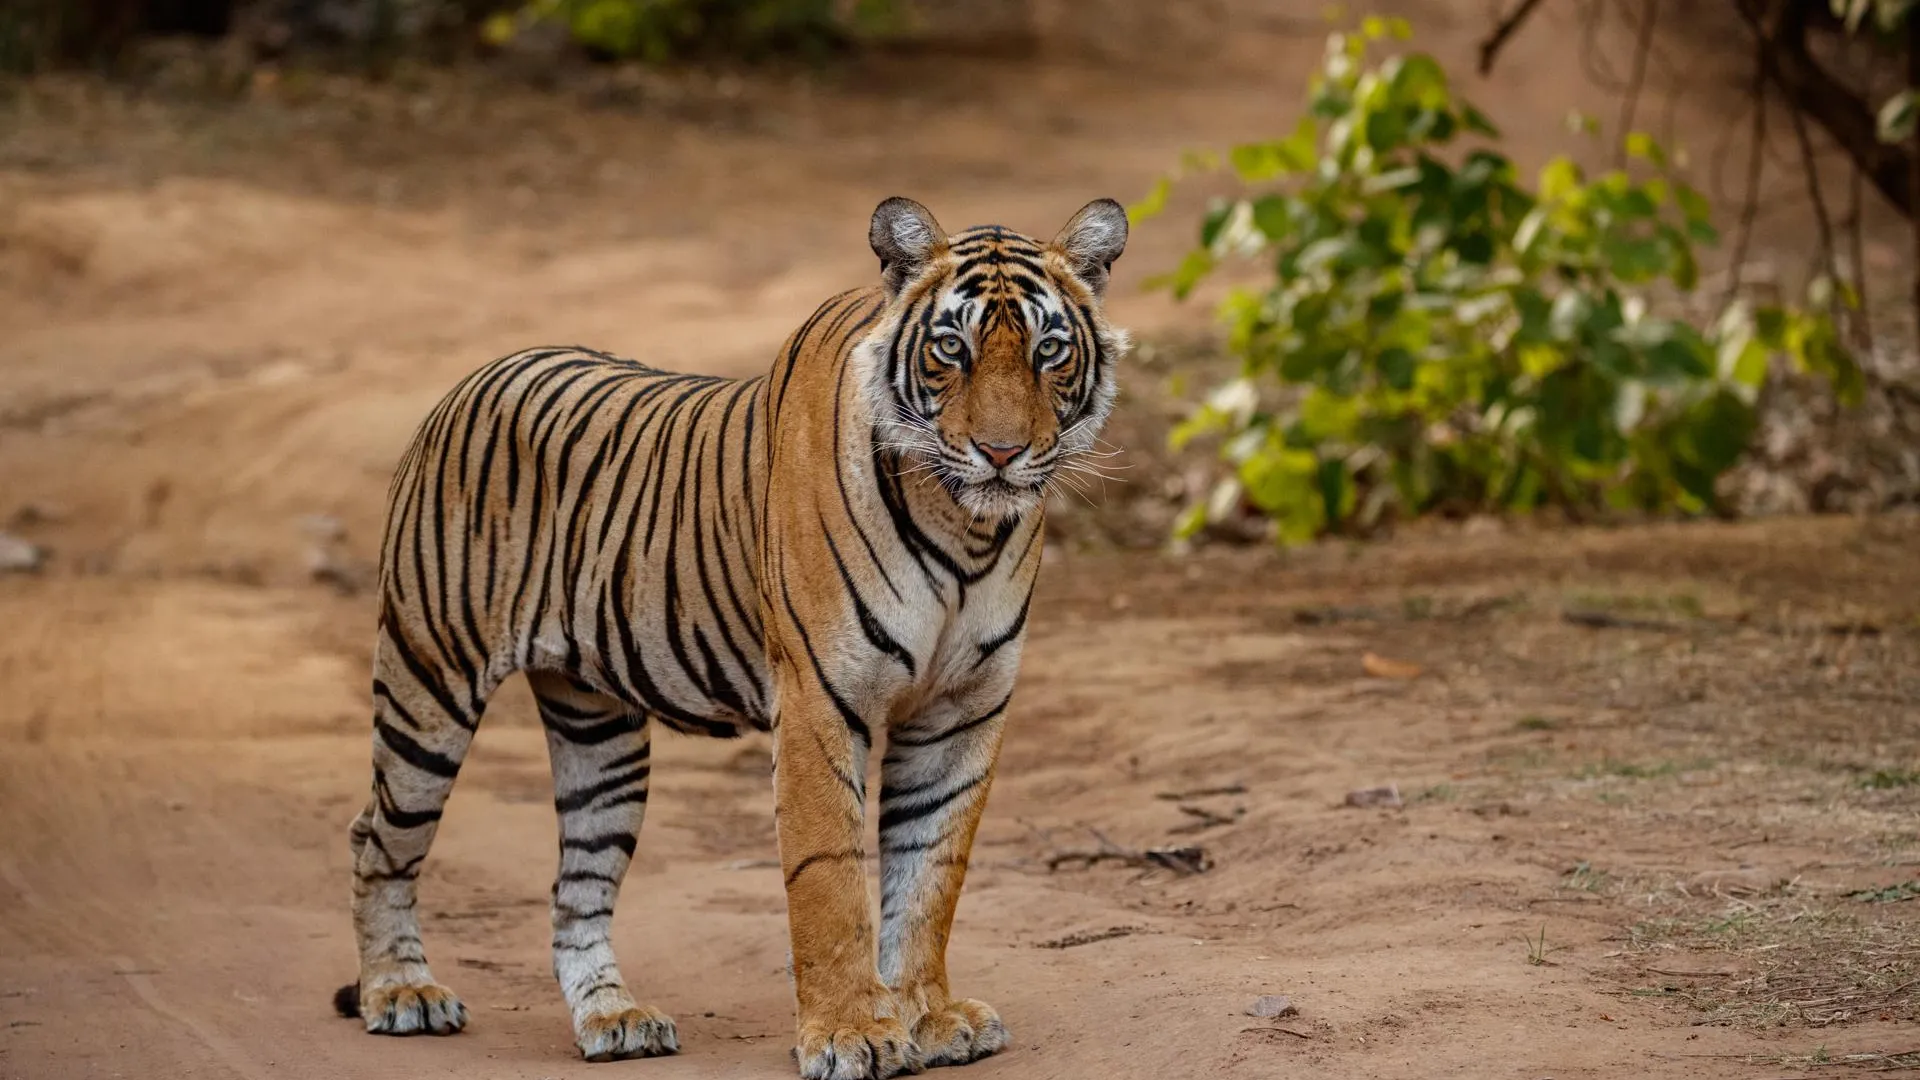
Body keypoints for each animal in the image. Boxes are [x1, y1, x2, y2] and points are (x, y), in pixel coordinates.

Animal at [337, 195, 1128, 1076]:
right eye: (950, 348)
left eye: (1049, 350)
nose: (1001, 453)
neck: (966, 529)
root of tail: (473, 378)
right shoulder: (822, 701)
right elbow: (829, 876)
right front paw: (852, 1033)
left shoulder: (962, 711)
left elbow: (931, 872)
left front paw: (928, 1015)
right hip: (427, 683)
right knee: (376, 840)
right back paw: (401, 992)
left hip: (600, 738)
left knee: (576, 889)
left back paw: (613, 1017)